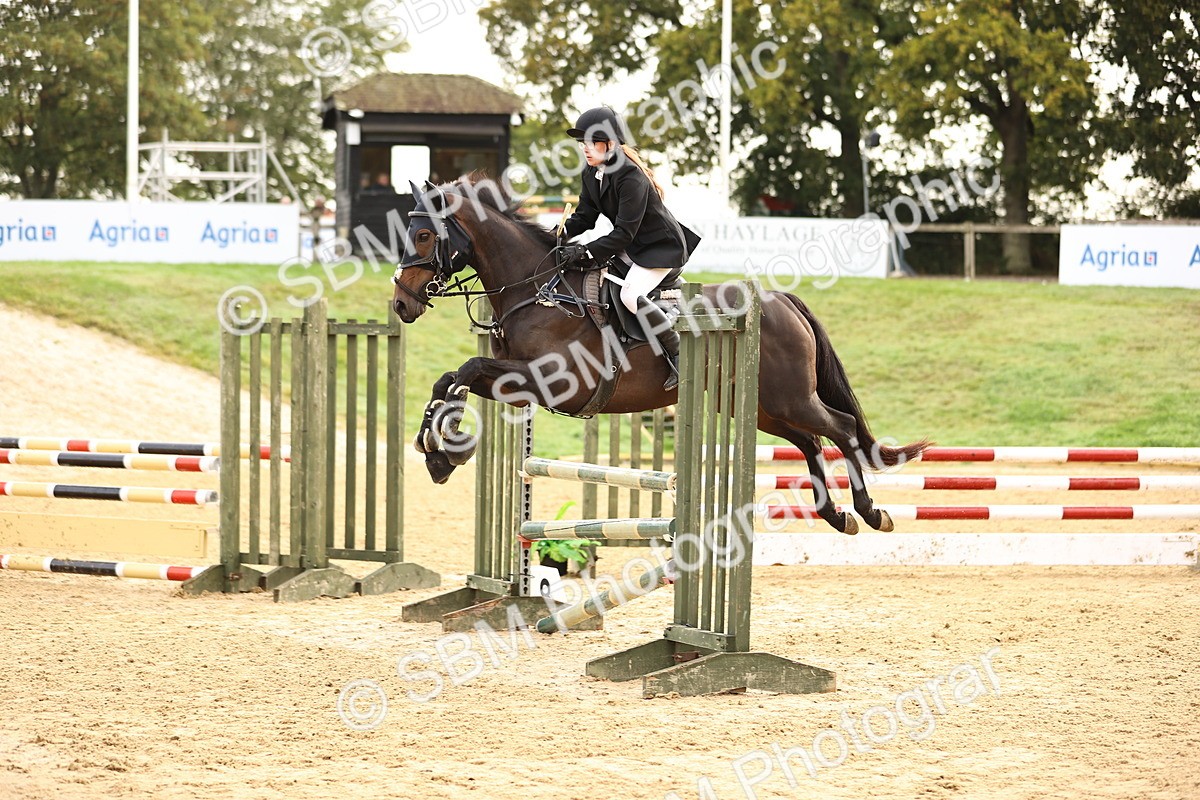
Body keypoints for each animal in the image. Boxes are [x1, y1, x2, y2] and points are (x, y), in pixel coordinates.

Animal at [391, 176, 927, 535]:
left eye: (424, 235)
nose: (400, 302)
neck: (537, 291)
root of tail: (778, 299)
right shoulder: (519, 384)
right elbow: (450, 378)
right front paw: (437, 451)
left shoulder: (553, 383)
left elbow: (467, 368)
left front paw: (449, 443)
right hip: (759, 407)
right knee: (811, 442)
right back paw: (836, 515)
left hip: (789, 398)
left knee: (840, 428)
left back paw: (870, 511)